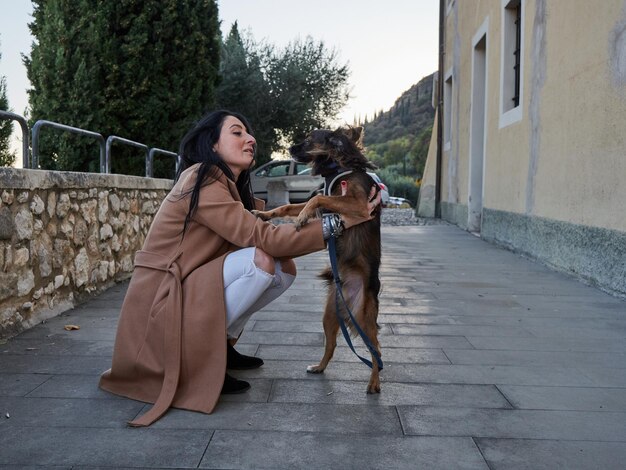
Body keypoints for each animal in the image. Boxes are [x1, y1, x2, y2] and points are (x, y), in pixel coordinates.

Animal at [251, 125, 382, 392]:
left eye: (309, 140)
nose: (289, 148)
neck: (338, 165)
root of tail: (347, 296)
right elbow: (288, 207)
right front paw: (264, 214)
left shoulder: (357, 203)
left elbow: (315, 198)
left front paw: (301, 217)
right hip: (329, 315)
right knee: (332, 345)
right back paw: (319, 367)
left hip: (364, 317)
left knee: (376, 352)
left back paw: (374, 383)